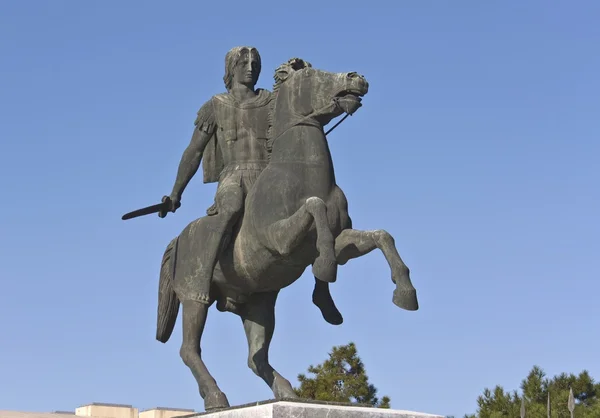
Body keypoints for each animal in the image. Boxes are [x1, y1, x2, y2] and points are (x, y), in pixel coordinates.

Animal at [154, 58, 418, 412]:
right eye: (310, 74)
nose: (358, 77)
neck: (302, 173)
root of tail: (178, 239)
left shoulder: (340, 240)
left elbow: (380, 236)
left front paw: (403, 293)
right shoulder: (278, 240)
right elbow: (315, 208)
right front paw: (325, 271)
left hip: (260, 306)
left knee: (255, 358)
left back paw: (286, 391)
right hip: (195, 296)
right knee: (189, 349)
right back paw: (216, 398)